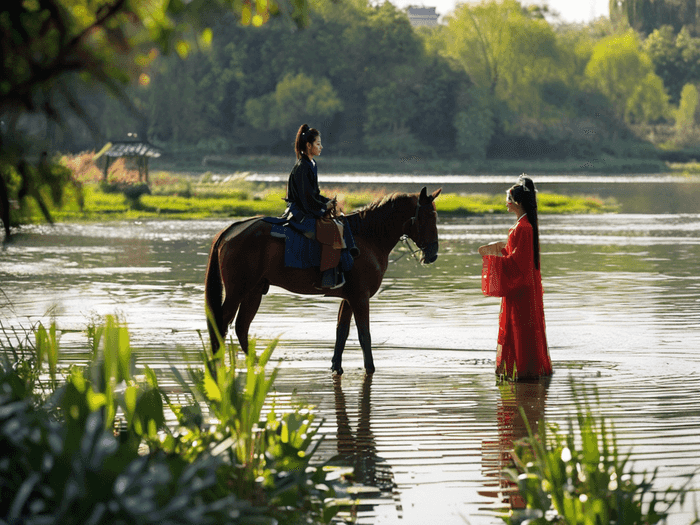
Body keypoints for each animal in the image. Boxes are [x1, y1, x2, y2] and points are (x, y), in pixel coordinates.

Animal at [205, 186, 440, 374]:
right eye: (427, 217)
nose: (433, 254)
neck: (368, 237)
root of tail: (232, 229)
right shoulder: (360, 297)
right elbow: (364, 334)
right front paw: (370, 368)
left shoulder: (349, 298)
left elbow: (342, 332)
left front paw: (337, 366)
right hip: (237, 290)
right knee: (221, 323)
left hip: (253, 292)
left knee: (241, 327)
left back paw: (257, 363)